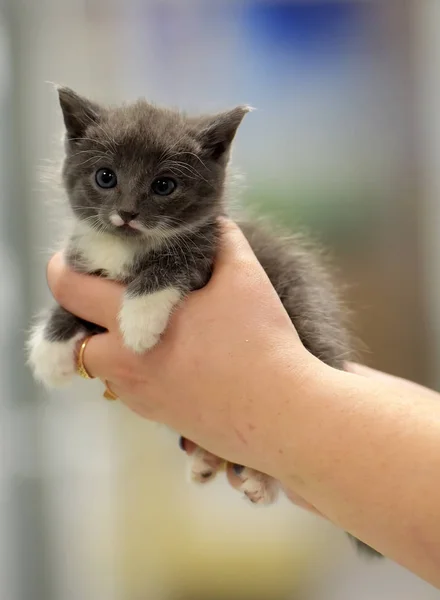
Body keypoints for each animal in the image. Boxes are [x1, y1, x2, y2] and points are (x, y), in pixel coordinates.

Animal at [27, 86, 382, 560]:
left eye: (164, 185)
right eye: (105, 177)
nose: (127, 213)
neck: (127, 246)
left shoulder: (205, 253)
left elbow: (172, 265)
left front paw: (139, 323)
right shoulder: (87, 268)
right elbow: (71, 301)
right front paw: (49, 351)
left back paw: (259, 481)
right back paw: (205, 462)